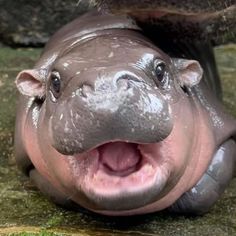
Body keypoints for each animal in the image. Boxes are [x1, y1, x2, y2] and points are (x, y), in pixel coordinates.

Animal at [13, 10, 235, 216]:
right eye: (55, 82)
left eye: (161, 70)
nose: (106, 91)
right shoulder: (27, 161)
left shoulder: (224, 129)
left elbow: (204, 189)